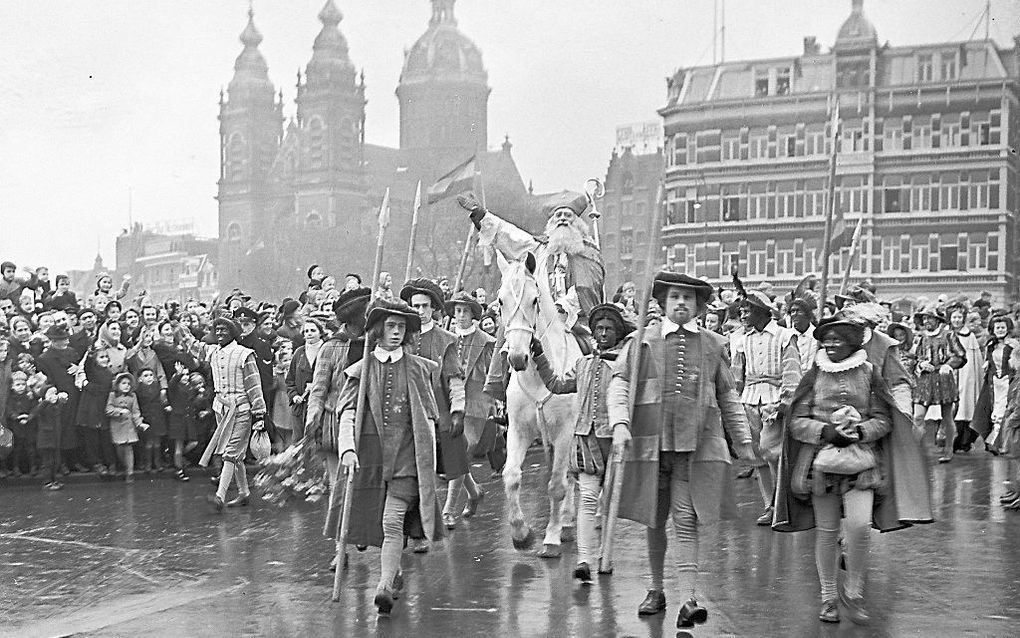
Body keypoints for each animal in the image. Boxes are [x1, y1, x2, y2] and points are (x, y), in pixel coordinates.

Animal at [495, 251, 583, 555]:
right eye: (500, 301)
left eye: (534, 300)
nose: (517, 357)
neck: (538, 377)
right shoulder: (519, 430)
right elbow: (511, 476)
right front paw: (521, 534)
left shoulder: (565, 430)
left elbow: (556, 483)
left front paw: (551, 537)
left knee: (570, 473)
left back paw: (565, 523)